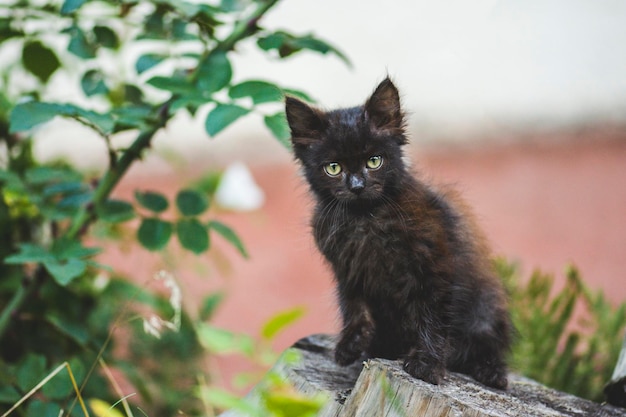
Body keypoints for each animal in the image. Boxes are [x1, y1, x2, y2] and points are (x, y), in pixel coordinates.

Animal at [286, 79, 510, 390]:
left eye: (374, 161)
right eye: (333, 168)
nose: (357, 186)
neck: (364, 218)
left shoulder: (434, 266)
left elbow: (432, 317)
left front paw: (426, 364)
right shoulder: (348, 270)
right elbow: (353, 306)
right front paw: (352, 344)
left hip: (485, 305)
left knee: (485, 341)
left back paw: (491, 372)